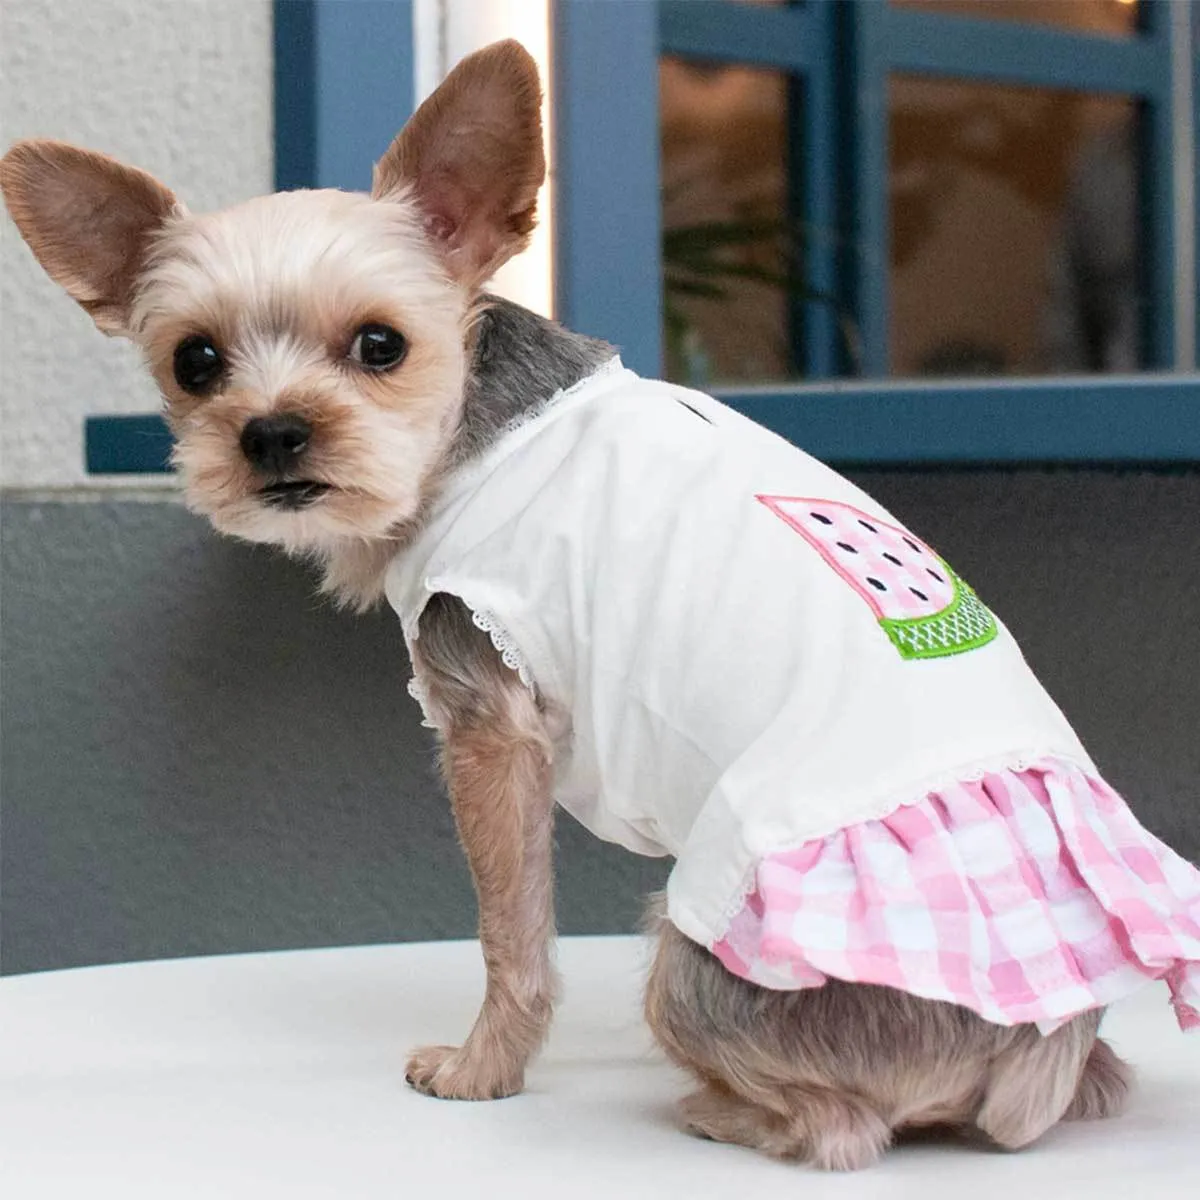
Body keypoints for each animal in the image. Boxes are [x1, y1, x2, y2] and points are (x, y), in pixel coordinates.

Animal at [4, 39, 1195, 1171]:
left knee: (842, 1129)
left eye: (381, 345)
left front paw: (481, 1071)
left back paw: (717, 1109)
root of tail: (1038, 1050)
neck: (470, 436)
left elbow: (511, 932)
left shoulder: (489, 724)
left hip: (691, 949)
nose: (273, 434)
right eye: (194, 361)